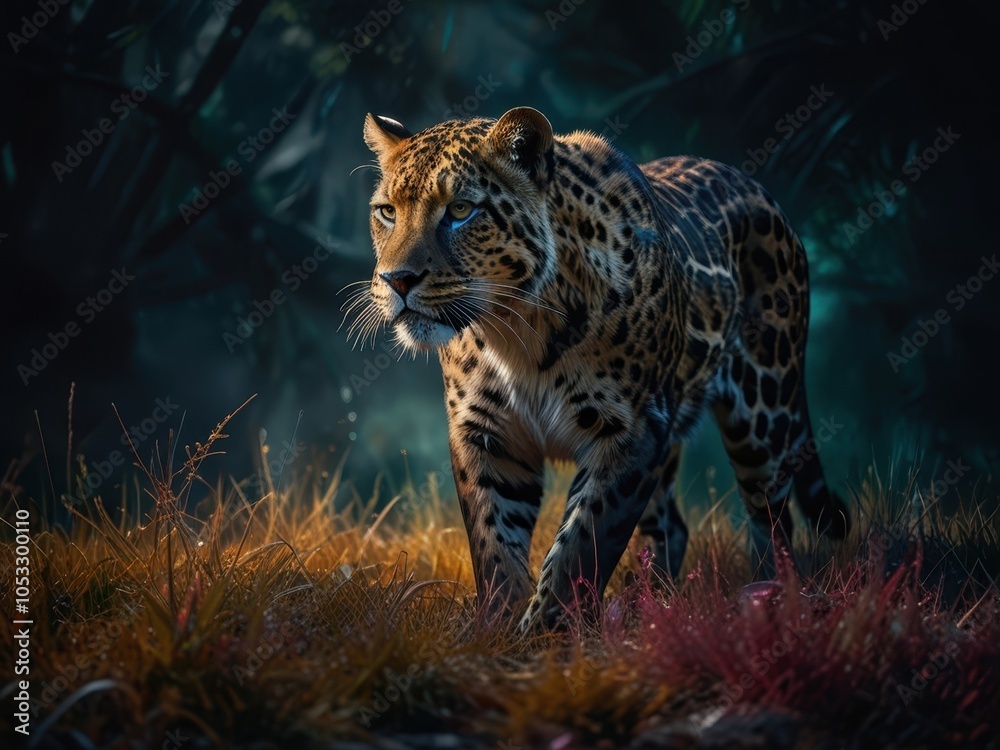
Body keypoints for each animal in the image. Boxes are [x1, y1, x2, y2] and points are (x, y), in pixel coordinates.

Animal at [353, 106, 850, 632]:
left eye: (461, 210)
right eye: (387, 212)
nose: (397, 280)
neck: (516, 331)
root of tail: (760, 189)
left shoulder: (631, 432)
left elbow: (580, 547)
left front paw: (544, 634)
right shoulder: (487, 432)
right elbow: (493, 542)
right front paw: (500, 626)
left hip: (763, 414)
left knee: (772, 520)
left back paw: (768, 597)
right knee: (672, 526)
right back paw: (652, 606)